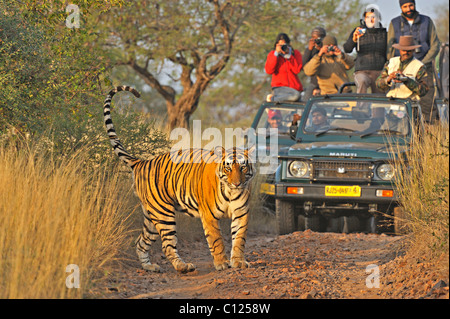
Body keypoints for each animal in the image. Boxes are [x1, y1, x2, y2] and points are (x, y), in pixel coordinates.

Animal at [103, 86, 255, 274]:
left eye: (243, 167)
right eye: (228, 168)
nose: (237, 183)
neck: (230, 191)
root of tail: (142, 162)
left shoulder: (241, 213)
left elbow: (239, 239)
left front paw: (239, 261)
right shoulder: (209, 216)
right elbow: (216, 240)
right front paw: (222, 263)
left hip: (151, 216)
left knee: (140, 242)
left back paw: (150, 266)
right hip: (163, 214)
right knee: (167, 245)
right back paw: (183, 266)